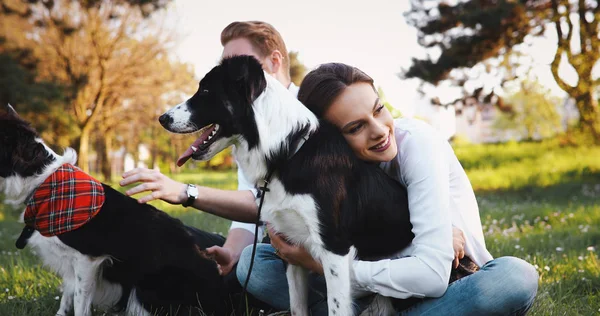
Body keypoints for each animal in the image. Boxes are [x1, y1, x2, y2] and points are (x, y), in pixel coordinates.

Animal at [157, 56, 414, 316]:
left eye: (206, 91)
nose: (162, 118)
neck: (286, 153)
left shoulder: (335, 248)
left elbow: (336, 307)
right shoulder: (291, 245)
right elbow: (297, 305)